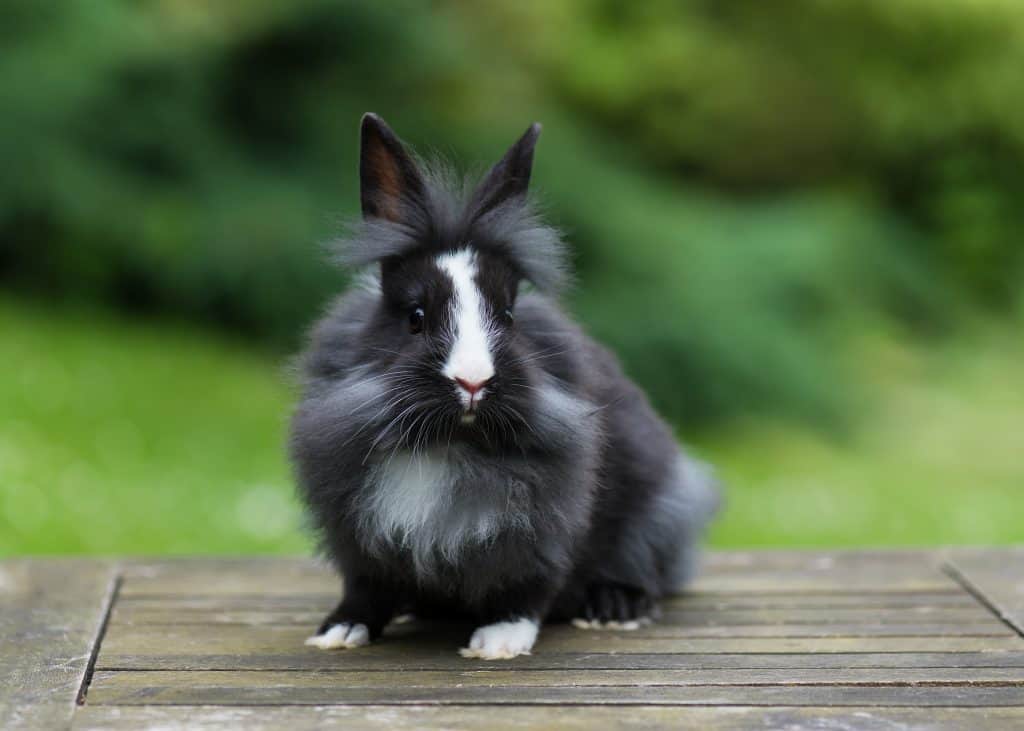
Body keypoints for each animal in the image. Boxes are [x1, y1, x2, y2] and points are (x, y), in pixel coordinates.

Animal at [288, 113, 720, 659]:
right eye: (415, 318)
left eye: (508, 316)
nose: (473, 381)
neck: (447, 443)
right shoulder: (358, 534)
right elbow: (366, 587)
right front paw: (339, 631)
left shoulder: (540, 527)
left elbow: (527, 584)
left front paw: (499, 640)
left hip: (663, 508)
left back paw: (615, 609)